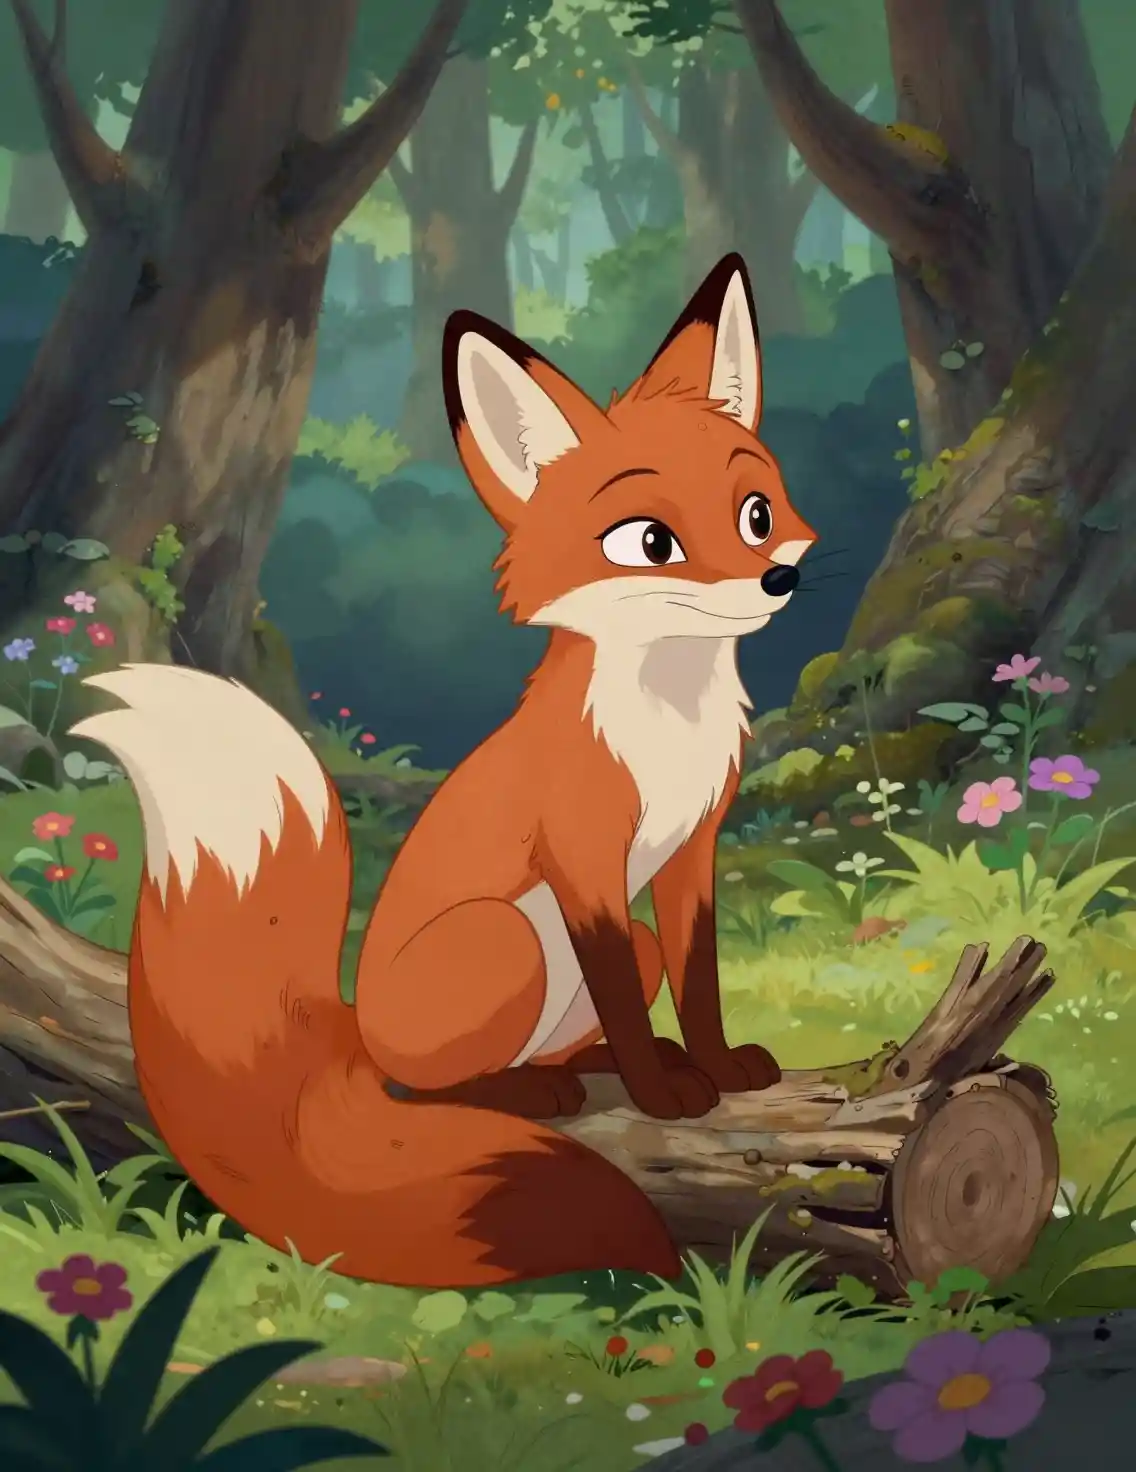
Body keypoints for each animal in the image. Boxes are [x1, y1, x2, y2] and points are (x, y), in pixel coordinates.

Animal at [71, 253, 816, 1287]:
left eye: (755, 513)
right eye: (649, 541)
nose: (777, 580)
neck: (667, 723)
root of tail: (347, 1023)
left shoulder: (686, 854)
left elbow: (699, 980)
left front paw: (710, 1063)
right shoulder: (586, 860)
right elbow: (629, 1007)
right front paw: (661, 1091)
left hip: (605, 943)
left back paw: (570, 1072)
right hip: (506, 940)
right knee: (427, 1089)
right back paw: (535, 1094)